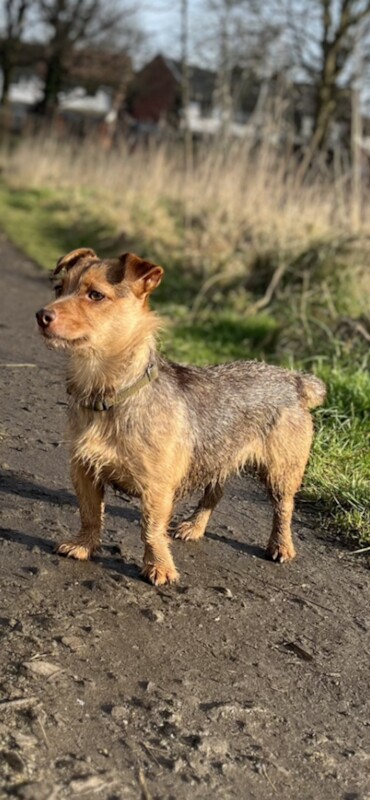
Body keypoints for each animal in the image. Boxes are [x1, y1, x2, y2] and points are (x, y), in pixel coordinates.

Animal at [36, 250, 326, 588]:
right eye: (59, 289)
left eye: (95, 295)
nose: (41, 315)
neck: (111, 392)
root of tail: (295, 379)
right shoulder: (84, 471)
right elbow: (90, 513)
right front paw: (83, 545)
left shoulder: (156, 488)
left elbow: (150, 529)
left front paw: (158, 566)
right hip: (219, 456)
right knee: (215, 492)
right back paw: (195, 526)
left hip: (282, 470)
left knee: (284, 508)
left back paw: (281, 545)